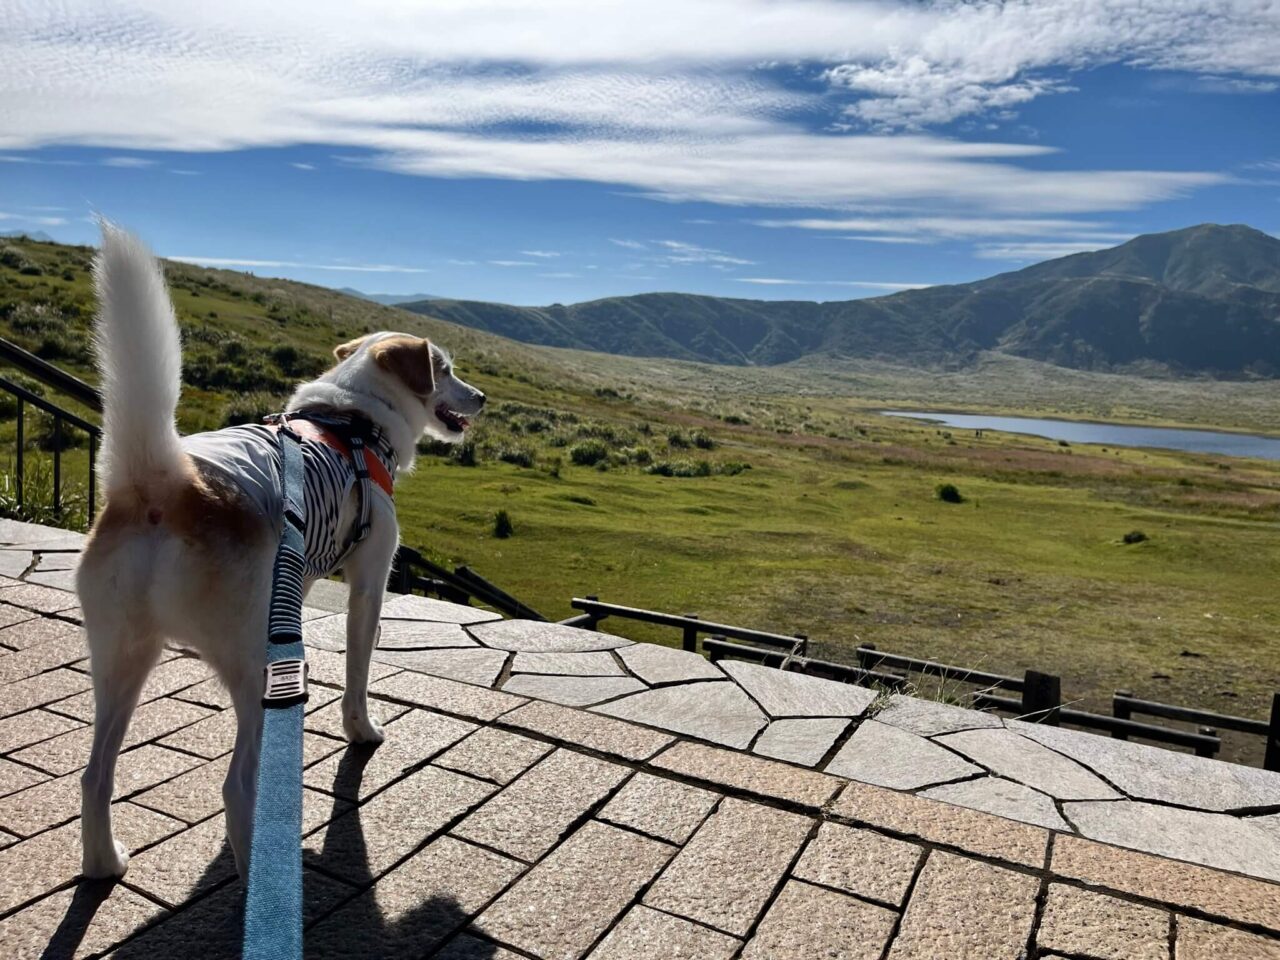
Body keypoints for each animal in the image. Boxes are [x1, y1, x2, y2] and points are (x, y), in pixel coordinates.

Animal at [76, 225, 483, 880]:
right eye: (442, 369)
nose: (482, 397)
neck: (351, 418)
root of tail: (163, 485)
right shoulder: (369, 582)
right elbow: (359, 672)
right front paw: (362, 730)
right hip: (253, 665)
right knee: (237, 784)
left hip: (120, 657)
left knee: (95, 775)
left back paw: (104, 863)